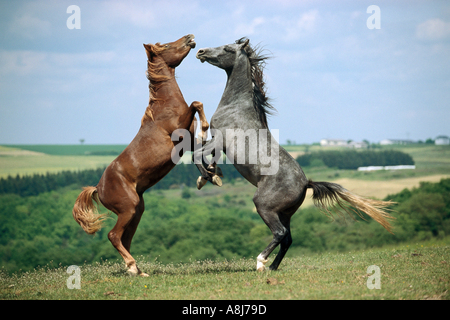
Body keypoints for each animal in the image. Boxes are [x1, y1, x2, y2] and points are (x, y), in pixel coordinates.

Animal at [72, 33, 209, 276]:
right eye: (166, 45)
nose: (190, 37)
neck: (165, 107)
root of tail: (99, 188)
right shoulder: (180, 132)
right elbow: (196, 103)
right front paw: (205, 128)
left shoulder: (190, 142)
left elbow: (199, 151)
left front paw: (209, 175)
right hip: (128, 209)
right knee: (114, 236)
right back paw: (132, 267)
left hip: (137, 212)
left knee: (125, 240)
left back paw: (137, 270)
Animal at [194, 38, 394, 272]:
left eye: (227, 49)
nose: (200, 51)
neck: (236, 107)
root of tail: (306, 183)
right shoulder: (217, 143)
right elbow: (201, 151)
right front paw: (211, 173)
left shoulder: (220, 140)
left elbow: (196, 153)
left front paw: (208, 177)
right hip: (285, 214)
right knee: (287, 239)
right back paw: (272, 268)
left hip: (264, 206)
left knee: (279, 234)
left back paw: (261, 263)